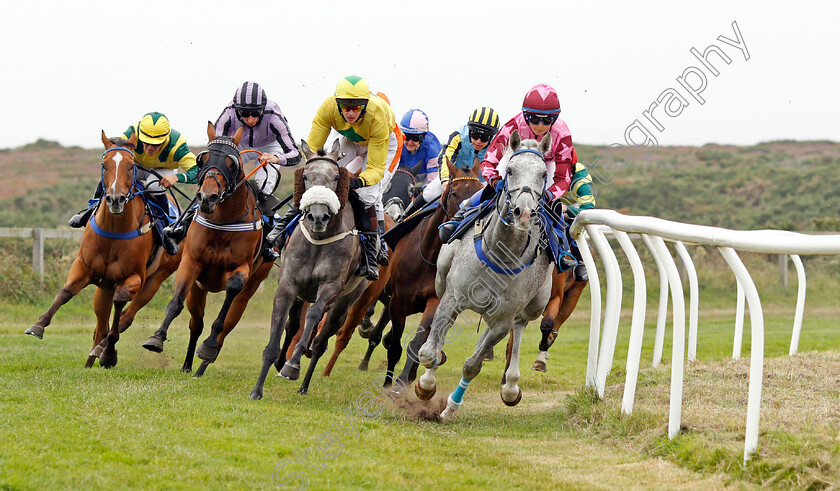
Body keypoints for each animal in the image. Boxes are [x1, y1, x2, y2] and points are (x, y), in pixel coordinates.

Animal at [26, 133, 182, 368]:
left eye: (130, 166)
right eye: (103, 165)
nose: (115, 199)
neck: (114, 231)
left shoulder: (134, 277)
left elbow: (120, 304)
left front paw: (108, 353)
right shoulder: (84, 267)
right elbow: (65, 292)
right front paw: (38, 325)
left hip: (155, 280)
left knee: (127, 316)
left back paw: (104, 349)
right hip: (104, 287)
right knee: (100, 327)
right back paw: (90, 360)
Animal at [143, 123, 274, 376]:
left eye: (232, 163)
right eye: (203, 159)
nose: (207, 197)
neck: (223, 223)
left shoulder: (241, 269)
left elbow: (225, 308)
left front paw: (208, 347)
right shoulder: (191, 263)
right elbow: (175, 304)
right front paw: (157, 337)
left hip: (251, 287)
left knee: (228, 323)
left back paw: (204, 361)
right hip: (199, 288)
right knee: (196, 323)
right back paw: (187, 366)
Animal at [249, 138, 368, 400]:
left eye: (336, 176)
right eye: (305, 176)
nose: (318, 216)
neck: (317, 240)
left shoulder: (331, 288)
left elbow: (314, 317)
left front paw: (292, 365)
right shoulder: (287, 287)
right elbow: (275, 338)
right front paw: (257, 389)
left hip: (346, 301)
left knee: (321, 341)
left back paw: (303, 385)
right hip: (301, 296)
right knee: (293, 325)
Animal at [416, 131, 556, 418]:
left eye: (543, 174)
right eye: (510, 170)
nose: (524, 213)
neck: (500, 253)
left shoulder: (501, 320)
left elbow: (473, 365)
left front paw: (450, 408)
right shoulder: (453, 297)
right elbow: (429, 352)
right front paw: (426, 384)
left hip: (535, 304)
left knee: (520, 324)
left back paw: (511, 386)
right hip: (441, 275)